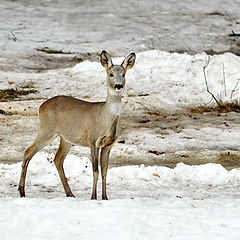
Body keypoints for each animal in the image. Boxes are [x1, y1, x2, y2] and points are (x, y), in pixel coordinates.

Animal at [18, 50, 136, 199]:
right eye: (111, 74)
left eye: (124, 74)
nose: (118, 86)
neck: (106, 118)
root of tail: (41, 107)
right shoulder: (93, 140)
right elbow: (95, 170)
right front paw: (93, 197)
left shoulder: (108, 146)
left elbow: (104, 171)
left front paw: (105, 197)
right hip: (47, 129)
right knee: (28, 151)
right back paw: (22, 191)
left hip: (66, 138)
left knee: (57, 159)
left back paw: (70, 193)